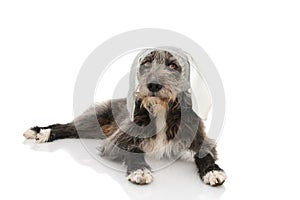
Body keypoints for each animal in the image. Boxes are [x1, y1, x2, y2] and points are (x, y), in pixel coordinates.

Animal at [23, 46, 226, 186]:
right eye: (146, 62)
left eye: (173, 65)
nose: (153, 85)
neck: (160, 109)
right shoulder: (117, 139)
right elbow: (134, 149)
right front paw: (140, 170)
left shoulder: (198, 135)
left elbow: (205, 153)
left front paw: (212, 171)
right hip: (93, 120)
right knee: (67, 126)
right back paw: (42, 132)